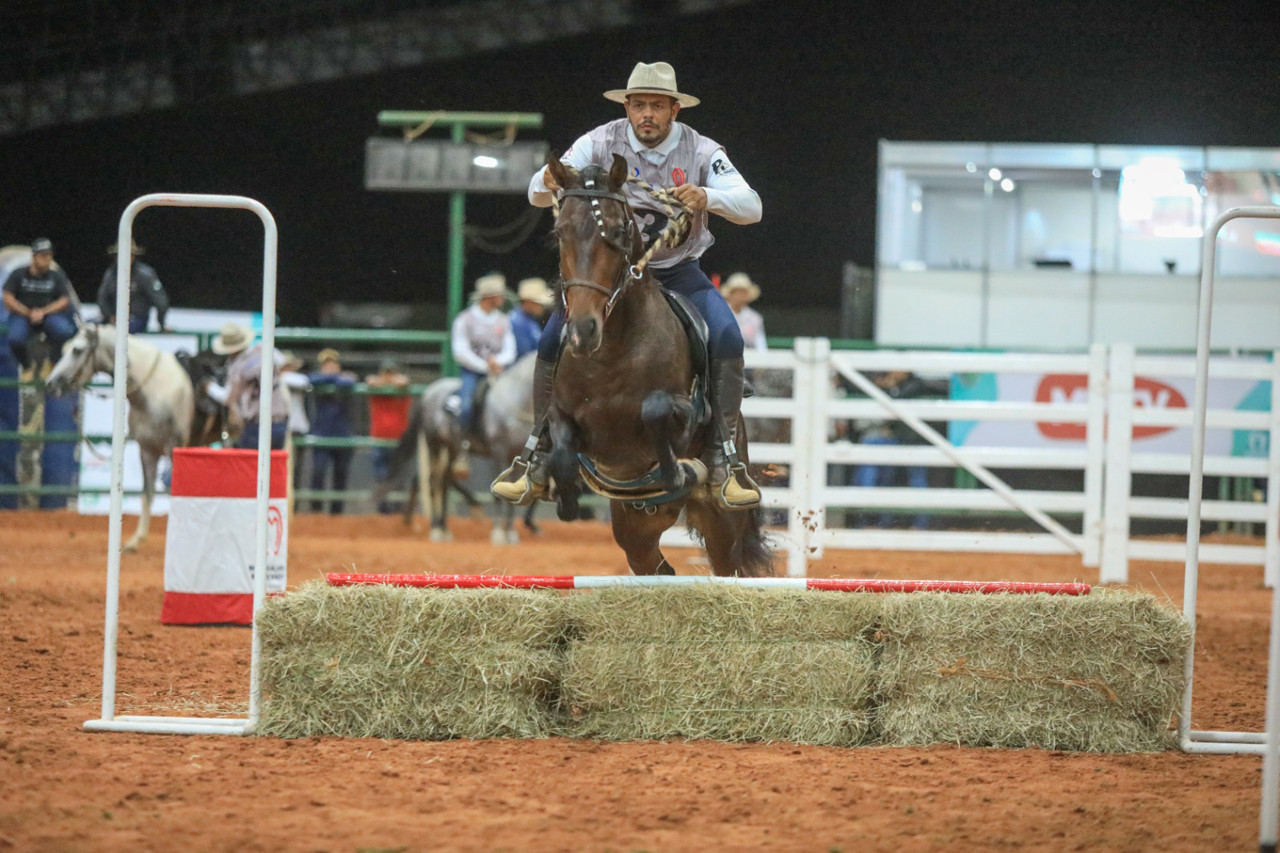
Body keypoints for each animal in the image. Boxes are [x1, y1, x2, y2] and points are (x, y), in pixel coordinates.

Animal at [47, 322, 193, 548]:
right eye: (64, 349)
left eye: (77, 350)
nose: (51, 383)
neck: (153, 389)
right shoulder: (147, 450)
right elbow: (147, 493)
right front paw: (136, 540)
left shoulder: (173, 448)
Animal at [376, 350, 542, 545]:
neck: (514, 402)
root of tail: (429, 392)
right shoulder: (498, 454)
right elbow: (499, 494)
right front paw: (498, 534)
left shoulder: (516, 456)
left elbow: (514, 493)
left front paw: (510, 533)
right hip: (434, 444)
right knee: (433, 482)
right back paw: (435, 529)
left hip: (451, 449)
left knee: (444, 482)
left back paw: (444, 528)